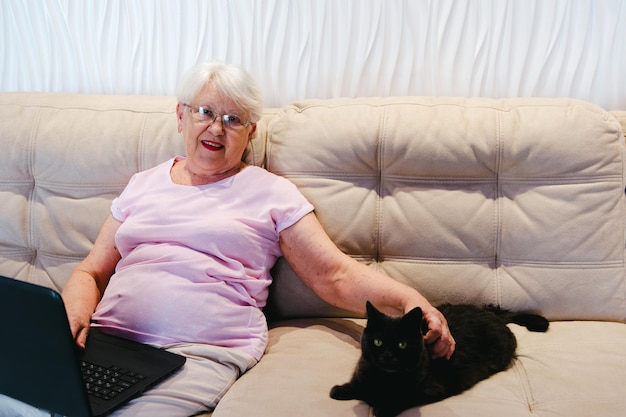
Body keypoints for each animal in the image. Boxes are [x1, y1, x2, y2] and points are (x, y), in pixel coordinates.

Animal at [330, 300, 548, 416]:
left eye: (402, 344)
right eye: (378, 342)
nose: (388, 357)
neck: (384, 379)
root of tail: (492, 314)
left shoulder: (432, 388)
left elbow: (405, 396)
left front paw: (384, 407)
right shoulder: (363, 370)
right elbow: (357, 383)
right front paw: (340, 390)